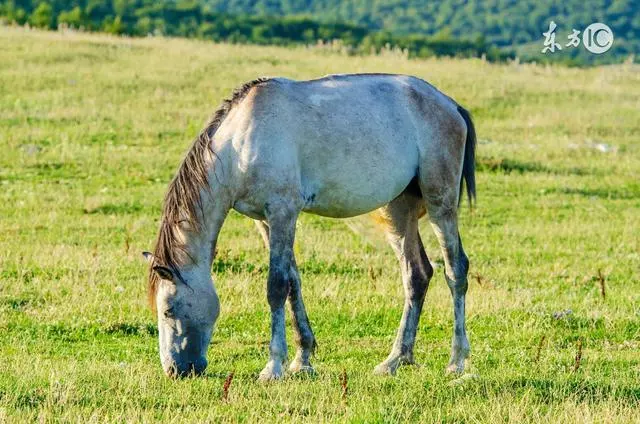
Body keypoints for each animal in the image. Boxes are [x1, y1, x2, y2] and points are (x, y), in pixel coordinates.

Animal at [144, 73, 476, 380]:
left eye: (168, 309)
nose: (175, 370)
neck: (240, 144)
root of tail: (451, 105)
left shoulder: (283, 213)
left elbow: (276, 287)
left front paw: (273, 367)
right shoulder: (265, 221)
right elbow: (293, 284)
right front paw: (302, 359)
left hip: (440, 203)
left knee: (455, 271)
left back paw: (457, 362)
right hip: (397, 210)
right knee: (416, 274)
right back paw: (395, 360)